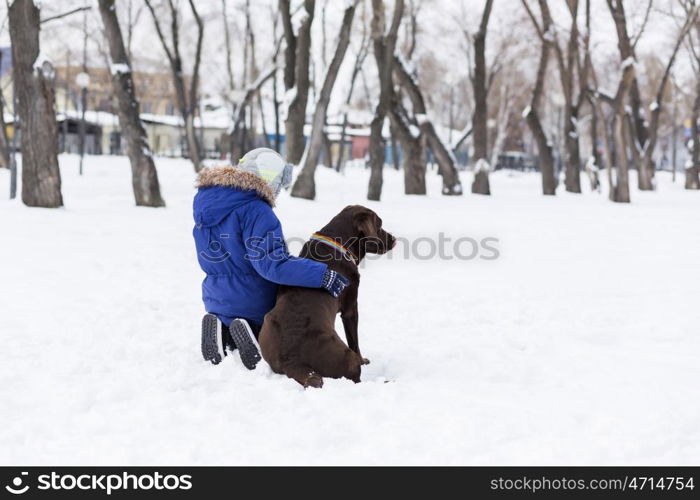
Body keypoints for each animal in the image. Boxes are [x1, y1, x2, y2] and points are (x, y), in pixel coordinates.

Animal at [260, 205, 396, 388]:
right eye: (379, 225)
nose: (394, 239)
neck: (338, 244)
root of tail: (292, 360)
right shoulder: (350, 307)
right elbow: (355, 341)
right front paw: (364, 360)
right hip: (346, 357)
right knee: (355, 379)